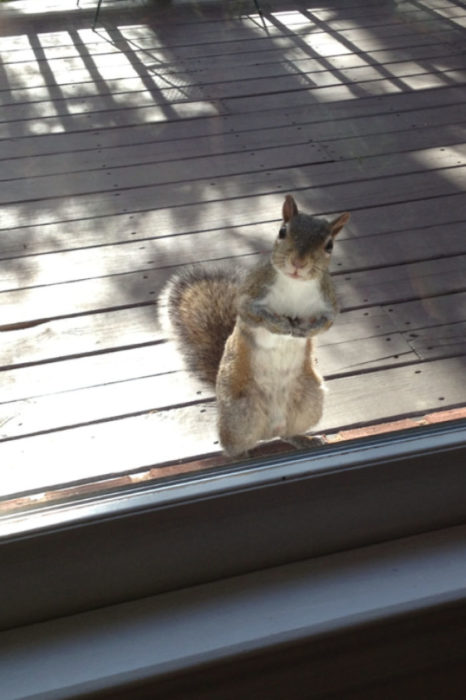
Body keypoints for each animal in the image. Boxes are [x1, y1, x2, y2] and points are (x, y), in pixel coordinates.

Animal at [164, 194, 350, 456]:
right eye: (282, 231)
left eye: (329, 246)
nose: (298, 262)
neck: (296, 284)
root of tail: (268, 430)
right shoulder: (249, 296)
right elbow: (252, 314)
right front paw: (279, 324)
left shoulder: (329, 304)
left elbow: (327, 323)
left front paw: (306, 330)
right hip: (240, 411)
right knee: (231, 446)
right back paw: (242, 455)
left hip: (309, 400)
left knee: (287, 433)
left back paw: (303, 439)